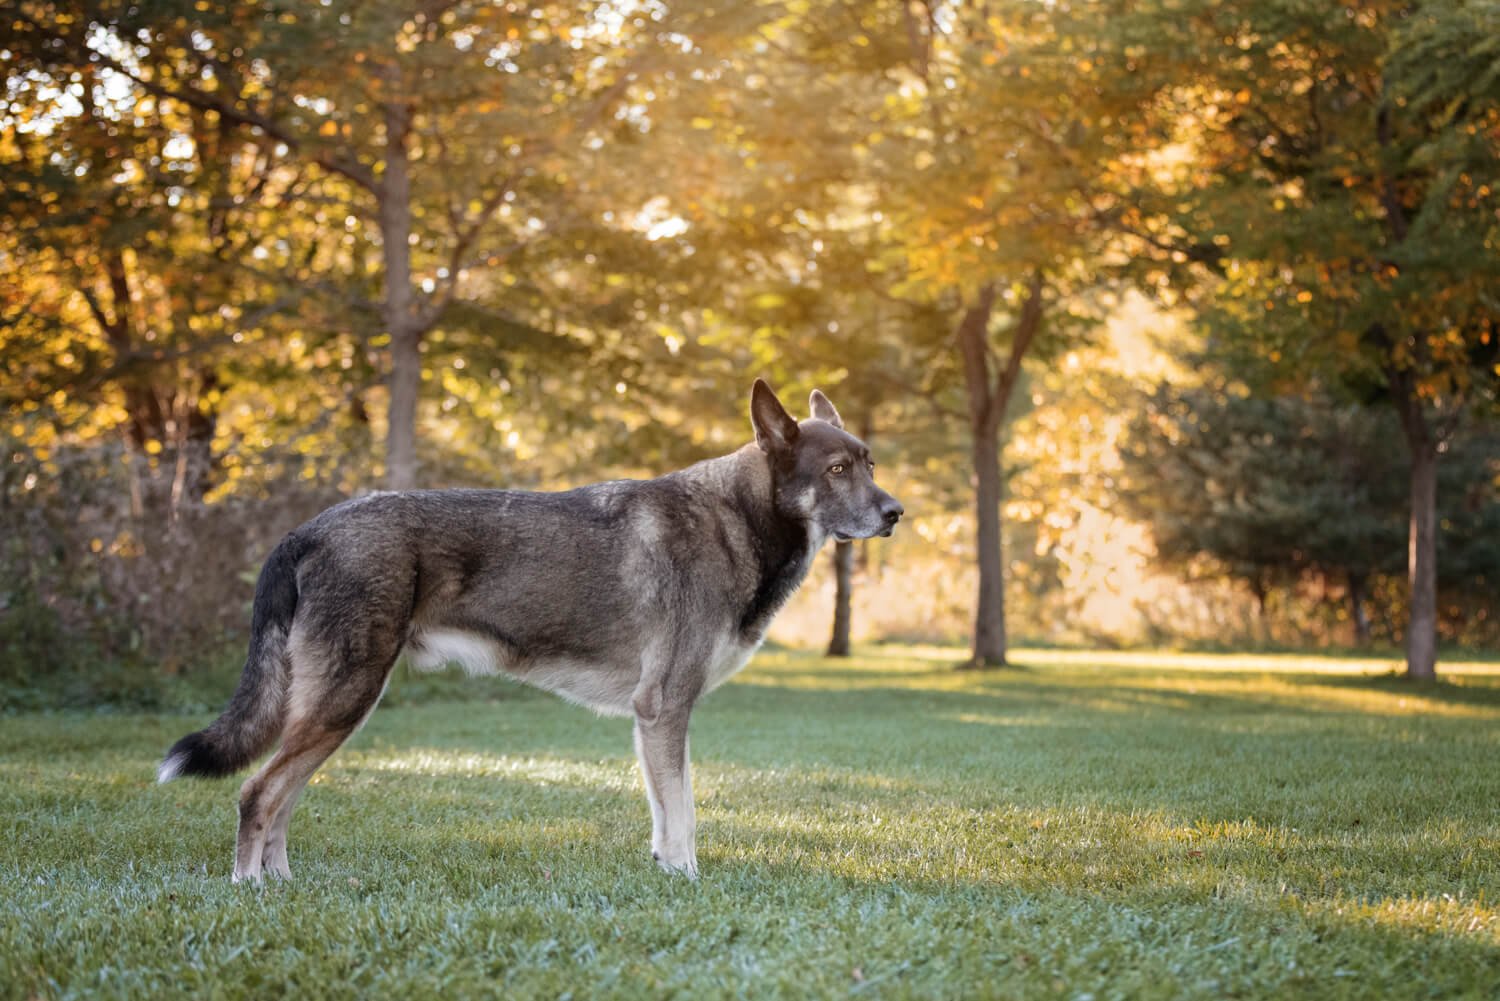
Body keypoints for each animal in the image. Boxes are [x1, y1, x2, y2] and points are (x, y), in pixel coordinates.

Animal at [158, 379, 900, 882]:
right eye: (837, 469)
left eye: (870, 461)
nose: (896, 512)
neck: (738, 517)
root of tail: (307, 530)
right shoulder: (665, 708)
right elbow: (684, 813)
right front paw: (687, 878)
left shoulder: (653, 718)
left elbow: (669, 811)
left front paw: (666, 870)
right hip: (345, 699)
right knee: (258, 792)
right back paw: (250, 887)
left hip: (339, 708)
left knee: (283, 796)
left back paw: (282, 882)